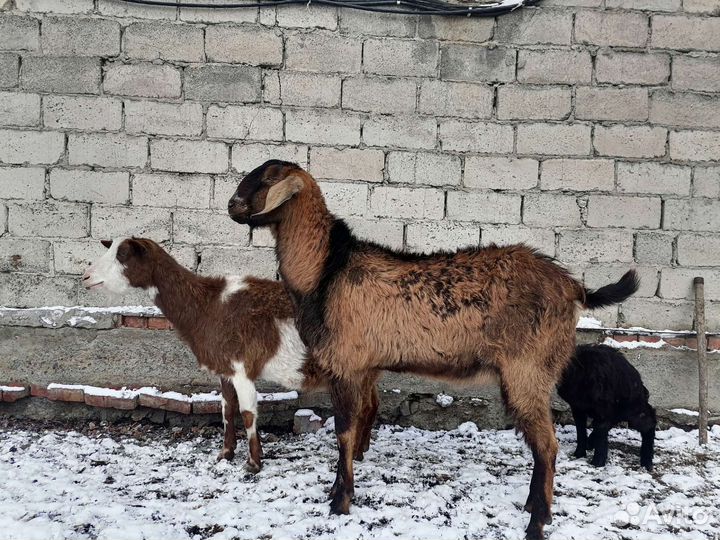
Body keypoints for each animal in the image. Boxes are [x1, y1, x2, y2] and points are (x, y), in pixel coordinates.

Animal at [82, 237, 341, 472]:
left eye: (123, 255)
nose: (86, 277)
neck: (208, 305)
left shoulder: (241, 367)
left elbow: (248, 413)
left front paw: (254, 464)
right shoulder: (225, 369)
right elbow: (227, 409)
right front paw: (226, 453)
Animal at [227, 160, 640, 540]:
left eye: (266, 178)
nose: (232, 205)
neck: (326, 271)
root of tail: (574, 287)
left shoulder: (347, 364)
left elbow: (344, 430)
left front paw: (340, 502)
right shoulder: (362, 366)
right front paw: (336, 490)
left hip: (530, 367)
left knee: (548, 445)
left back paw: (537, 522)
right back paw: (534, 507)